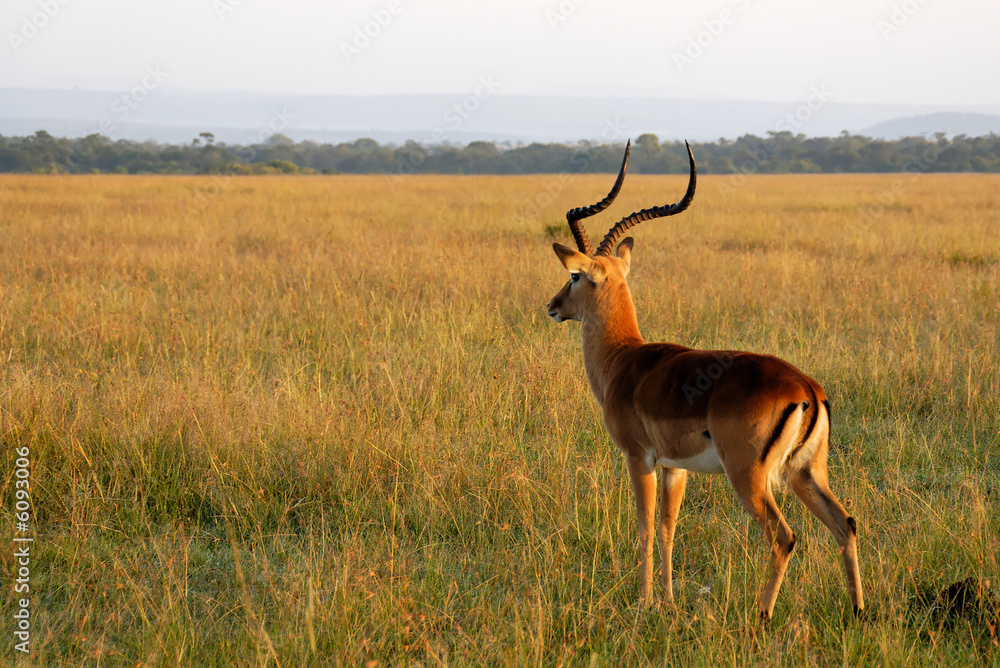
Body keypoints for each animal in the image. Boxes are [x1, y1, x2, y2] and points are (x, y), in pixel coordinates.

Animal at [546, 141, 863, 619]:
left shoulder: (638, 457)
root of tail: (806, 389)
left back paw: (762, 615)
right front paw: (668, 600)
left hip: (749, 476)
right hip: (806, 472)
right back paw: (859, 610)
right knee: (845, 524)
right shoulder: (676, 467)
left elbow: (643, 527)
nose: (552, 306)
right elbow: (668, 528)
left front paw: (642, 603)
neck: (623, 358)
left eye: (574, 275)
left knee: (785, 537)